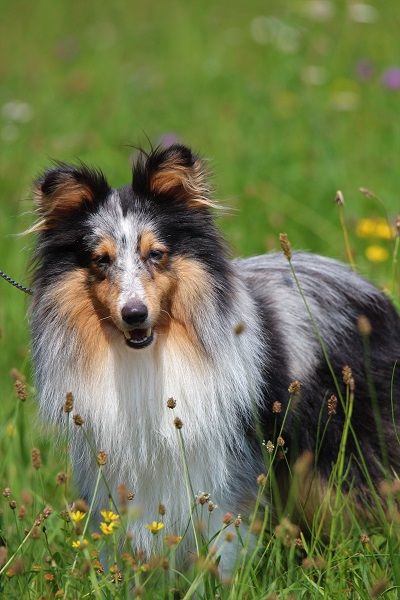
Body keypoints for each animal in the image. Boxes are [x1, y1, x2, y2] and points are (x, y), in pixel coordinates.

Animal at [29, 144, 400, 569]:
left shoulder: (221, 464)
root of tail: (369, 288)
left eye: (156, 253)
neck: (150, 356)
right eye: (101, 260)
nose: (134, 314)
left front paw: (218, 574)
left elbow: (221, 532)